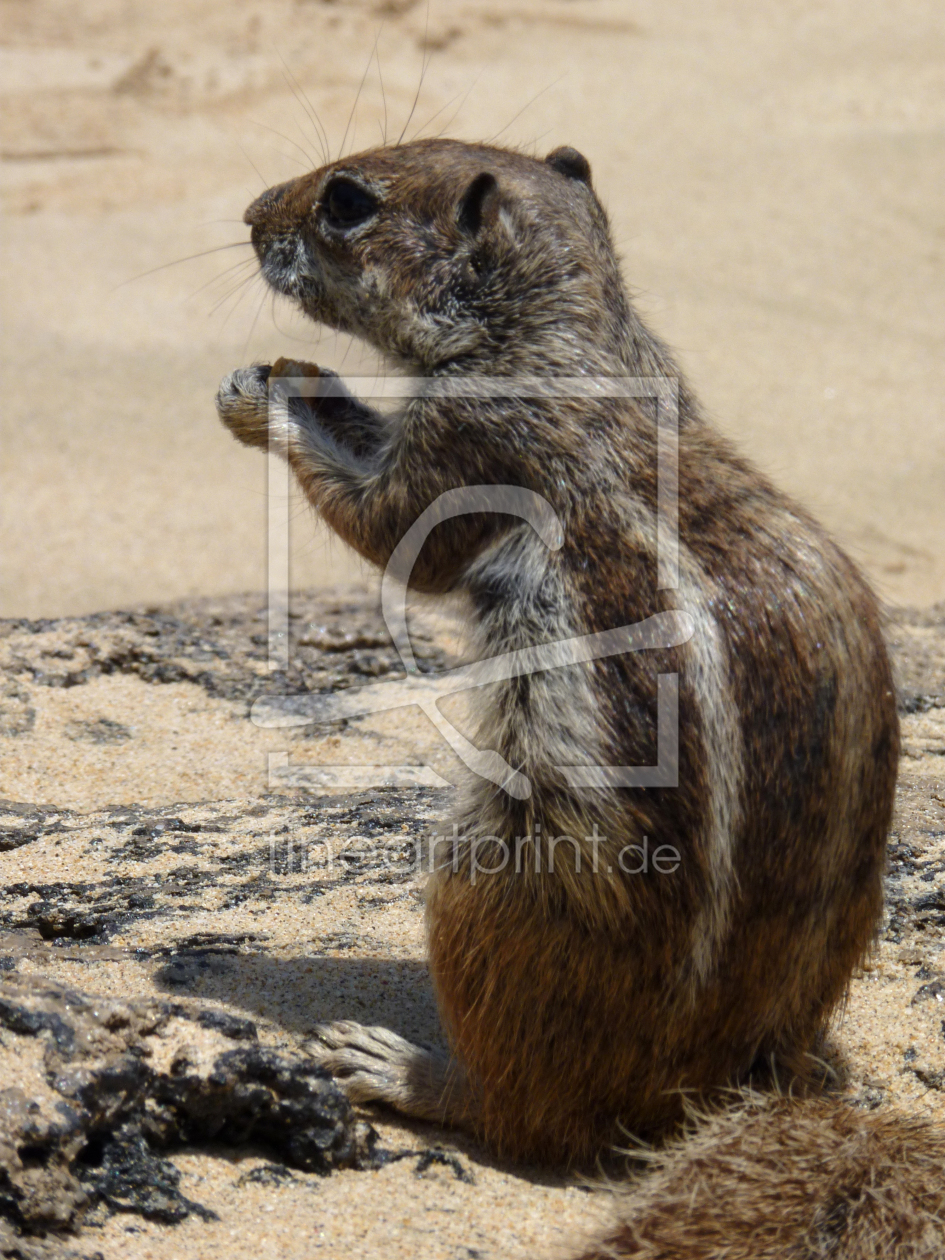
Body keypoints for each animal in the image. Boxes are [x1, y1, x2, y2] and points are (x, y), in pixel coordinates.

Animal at [216, 140, 945, 1260]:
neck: (568, 323)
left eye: (346, 201)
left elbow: (387, 526)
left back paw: (406, 1069)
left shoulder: (471, 442)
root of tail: (718, 1086)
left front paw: (266, 398)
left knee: (524, 1113)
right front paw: (299, 375)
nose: (252, 215)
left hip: (495, 881)